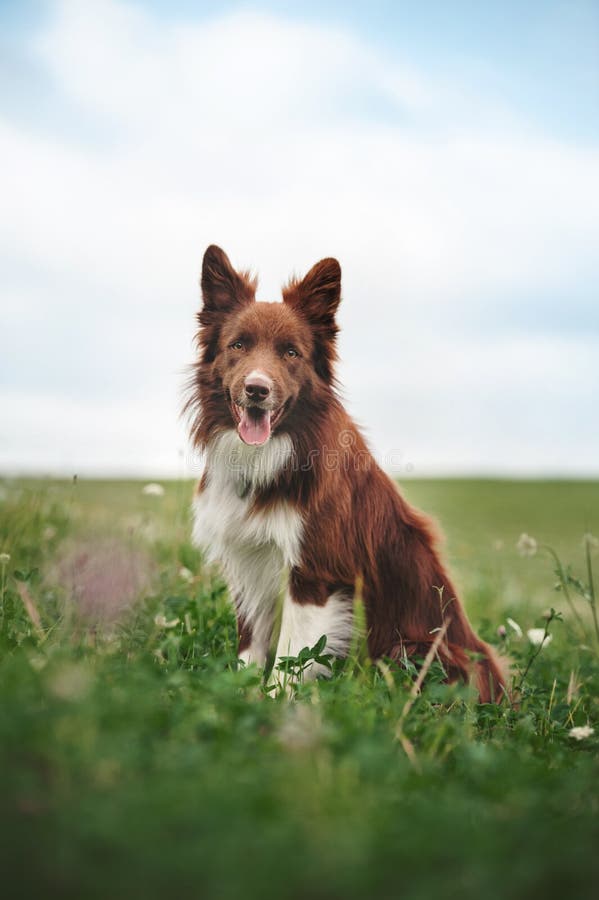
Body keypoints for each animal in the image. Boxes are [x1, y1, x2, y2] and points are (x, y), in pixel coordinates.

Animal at [188, 246, 506, 704]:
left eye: (291, 353)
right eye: (238, 345)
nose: (257, 389)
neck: (269, 457)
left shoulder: (315, 571)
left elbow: (290, 658)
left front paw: (274, 708)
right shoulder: (247, 560)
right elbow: (250, 649)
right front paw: (239, 698)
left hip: (412, 649)